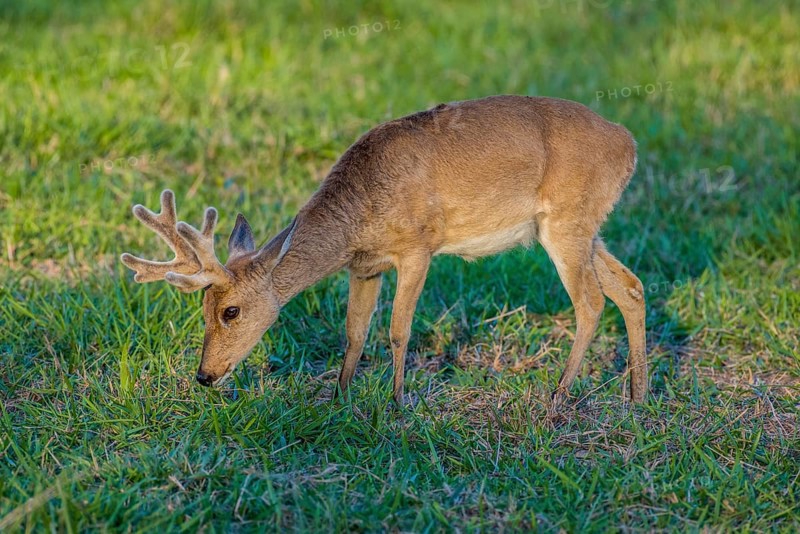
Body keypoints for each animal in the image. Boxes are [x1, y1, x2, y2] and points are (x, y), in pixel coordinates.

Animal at [121, 95, 647, 406]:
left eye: (229, 311)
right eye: (202, 310)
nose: (204, 376)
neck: (360, 216)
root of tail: (629, 142)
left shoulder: (418, 247)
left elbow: (397, 330)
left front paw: (396, 404)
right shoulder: (364, 266)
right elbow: (354, 332)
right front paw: (340, 397)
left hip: (567, 221)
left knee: (590, 302)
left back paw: (558, 395)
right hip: (582, 228)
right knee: (631, 287)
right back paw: (637, 397)